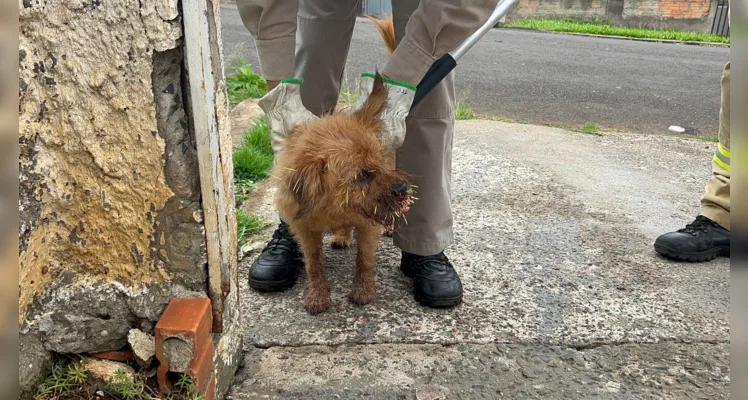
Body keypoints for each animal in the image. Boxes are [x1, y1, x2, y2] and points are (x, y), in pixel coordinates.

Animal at [274, 72, 418, 316]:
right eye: (362, 175)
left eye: (379, 161)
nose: (402, 189)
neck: (332, 206)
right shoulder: (304, 231)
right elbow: (313, 264)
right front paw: (318, 295)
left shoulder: (368, 225)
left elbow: (364, 259)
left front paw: (363, 290)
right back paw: (342, 235)